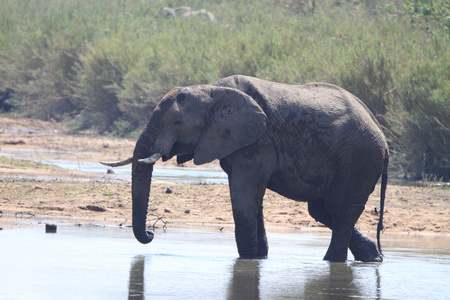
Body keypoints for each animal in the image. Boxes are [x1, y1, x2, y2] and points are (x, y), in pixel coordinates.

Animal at [101, 75, 386, 262]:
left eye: (177, 122)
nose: (151, 233)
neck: (211, 89)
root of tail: (379, 129)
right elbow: (253, 200)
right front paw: (258, 259)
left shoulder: (257, 141)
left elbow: (244, 200)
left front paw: (248, 259)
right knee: (322, 210)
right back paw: (373, 257)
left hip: (359, 159)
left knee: (340, 210)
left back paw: (333, 262)